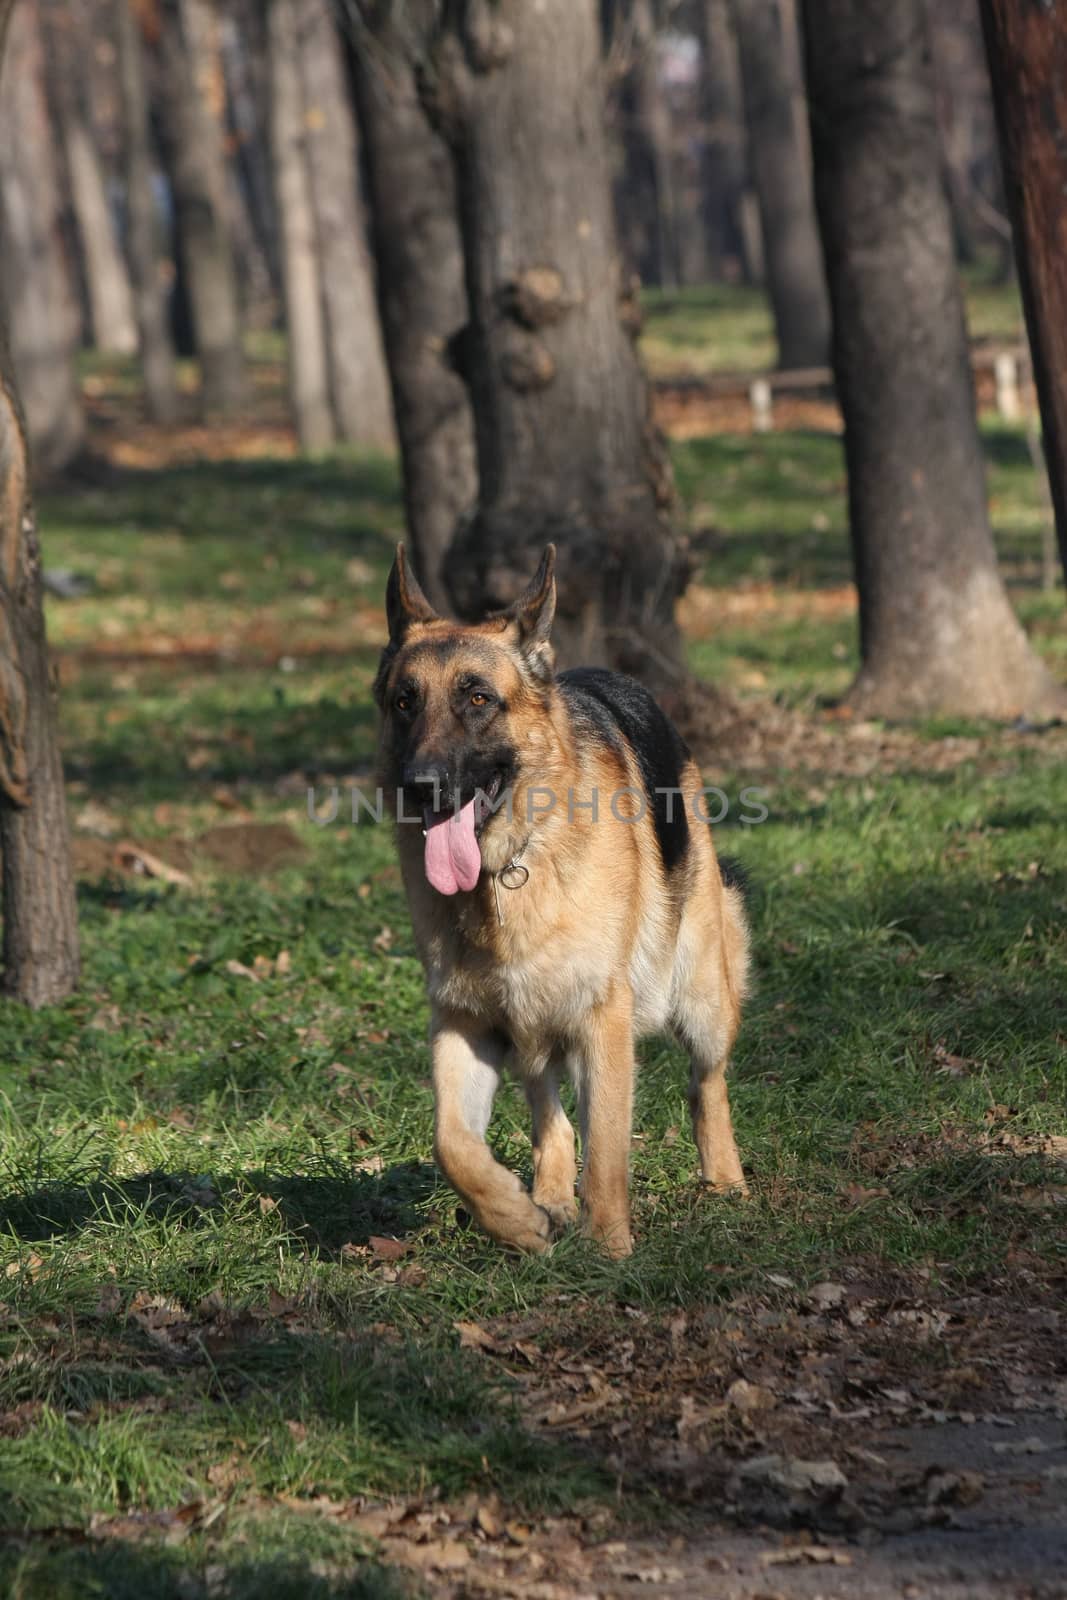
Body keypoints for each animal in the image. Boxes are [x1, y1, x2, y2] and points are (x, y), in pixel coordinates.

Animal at [375, 544, 751, 1254]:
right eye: (405, 702)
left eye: (478, 698)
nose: (421, 786)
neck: (505, 872)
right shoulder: (463, 1022)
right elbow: (453, 1145)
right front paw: (516, 1219)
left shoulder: (602, 1019)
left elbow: (606, 1150)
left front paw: (608, 1249)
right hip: (529, 1025)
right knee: (549, 1110)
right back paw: (547, 1195)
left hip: (700, 995)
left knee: (706, 1083)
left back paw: (724, 1180)